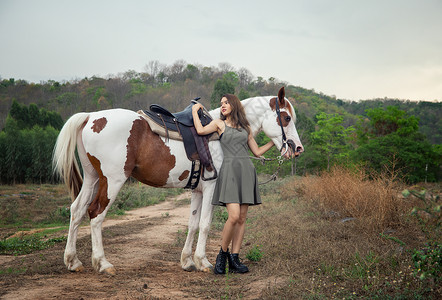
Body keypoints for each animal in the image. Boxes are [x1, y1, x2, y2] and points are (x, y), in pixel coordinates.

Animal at [51, 86, 300, 274]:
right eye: (286, 118)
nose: (297, 148)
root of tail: (90, 117)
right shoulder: (211, 189)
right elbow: (205, 224)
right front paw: (204, 262)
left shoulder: (198, 191)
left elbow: (192, 224)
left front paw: (188, 261)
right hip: (112, 181)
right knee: (96, 214)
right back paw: (103, 264)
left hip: (92, 178)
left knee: (76, 211)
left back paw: (73, 261)